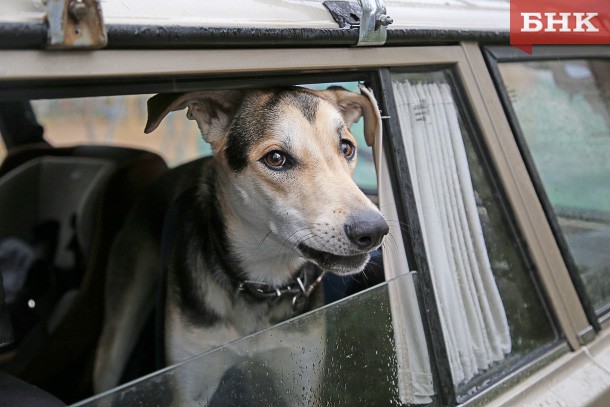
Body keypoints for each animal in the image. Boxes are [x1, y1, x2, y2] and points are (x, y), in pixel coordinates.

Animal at [94, 86, 390, 404]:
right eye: (276, 158)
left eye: (346, 148)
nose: (373, 231)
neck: (262, 283)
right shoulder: (191, 384)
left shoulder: (301, 377)